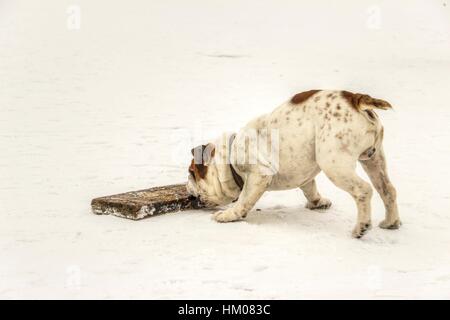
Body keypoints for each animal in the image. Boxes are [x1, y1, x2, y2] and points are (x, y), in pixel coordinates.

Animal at [186, 90, 400, 238]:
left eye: (191, 173)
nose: (188, 189)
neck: (229, 158)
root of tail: (356, 99)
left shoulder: (258, 175)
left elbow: (244, 200)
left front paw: (228, 215)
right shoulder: (304, 176)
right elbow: (310, 189)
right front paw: (318, 203)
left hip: (333, 163)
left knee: (364, 190)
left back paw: (361, 228)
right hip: (374, 159)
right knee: (387, 189)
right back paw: (391, 223)